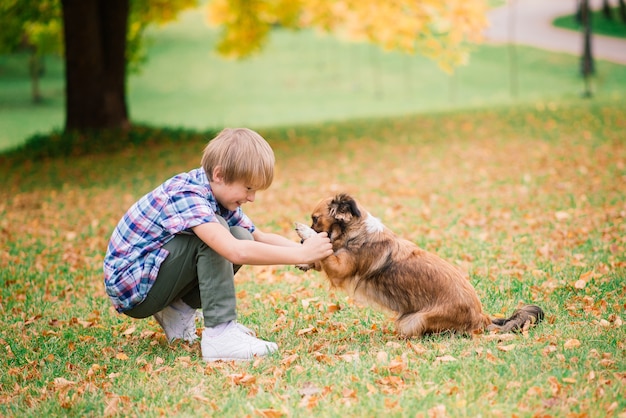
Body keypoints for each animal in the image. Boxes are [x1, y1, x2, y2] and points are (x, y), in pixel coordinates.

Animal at [292, 194, 540, 338]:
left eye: (315, 219)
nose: (301, 244)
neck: (356, 231)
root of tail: (482, 318)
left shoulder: (341, 268)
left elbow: (327, 251)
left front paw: (305, 233)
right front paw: (305, 259)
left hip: (413, 321)